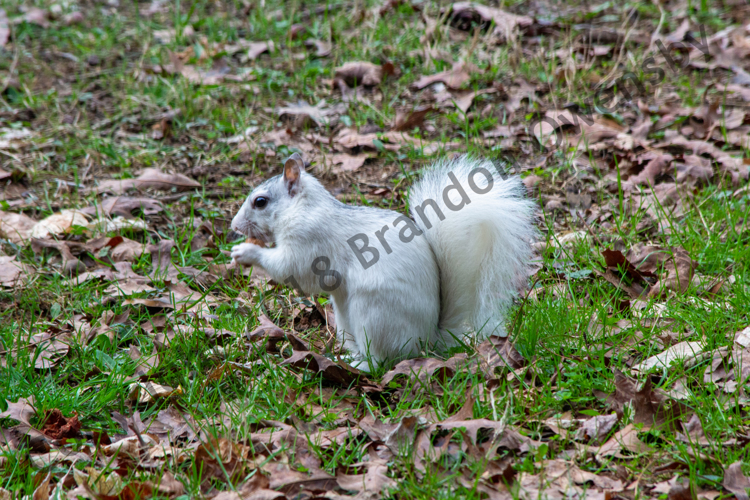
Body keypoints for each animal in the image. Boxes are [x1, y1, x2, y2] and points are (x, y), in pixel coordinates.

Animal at [232, 152, 536, 372]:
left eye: (260, 202)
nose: (234, 226)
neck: (302, 207)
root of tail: (428, 339)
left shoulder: (308, 243)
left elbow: (292, 271)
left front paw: (246, 252)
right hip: (345, 319)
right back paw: (345, 355)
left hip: (374, 315)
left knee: (381, 360)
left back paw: (360, 365)